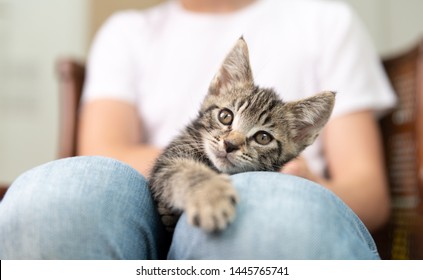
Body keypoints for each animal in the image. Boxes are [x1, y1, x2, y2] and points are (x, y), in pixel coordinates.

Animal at [151, 38, 336, 233]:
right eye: (225, 116)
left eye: (263, 137)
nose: (229, 145)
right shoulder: (169, 158)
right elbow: (185, 170)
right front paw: (211, 196)